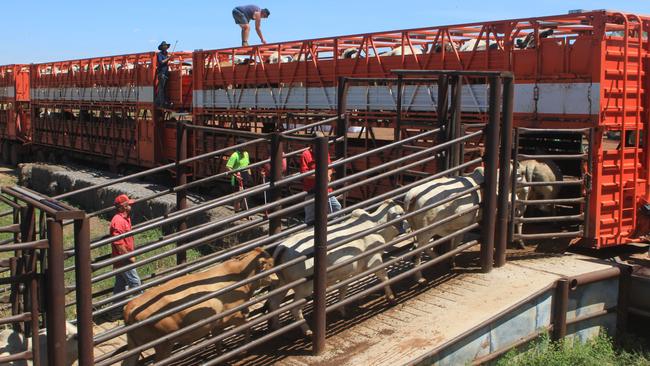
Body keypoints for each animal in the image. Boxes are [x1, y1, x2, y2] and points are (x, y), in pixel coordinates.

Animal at [123, 247, 278, 364]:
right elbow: (247, 327)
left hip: (134, 344)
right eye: (270, 264)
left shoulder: (216, 323)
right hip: (163, 344)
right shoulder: (233, 316)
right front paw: (245, 349)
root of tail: (131, 305)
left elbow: (218, 341)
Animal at [266, 200, 402, 338]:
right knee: (294, 309)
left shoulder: (346, 274)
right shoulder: (374, 260)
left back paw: (277, 328)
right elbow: (384, 277)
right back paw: (308, 331)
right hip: (303, 288)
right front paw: (391, 298)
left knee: (273, 304)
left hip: (282, 283)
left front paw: (342, 311)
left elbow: (343, 290)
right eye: (401, 213)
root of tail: (283, 247)